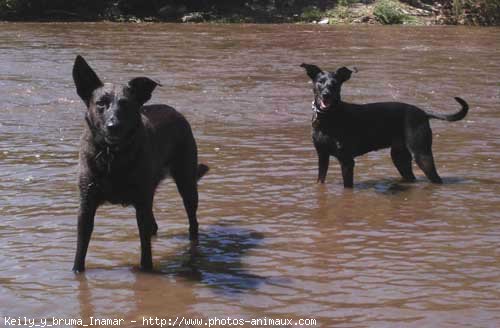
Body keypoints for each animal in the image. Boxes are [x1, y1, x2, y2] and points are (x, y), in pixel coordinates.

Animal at [72, 55, 209, 272]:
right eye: (101, 103)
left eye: (126, 104)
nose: (113, 126)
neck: (113, 156)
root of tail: (175, 111)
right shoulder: (86, 206)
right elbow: (80, 250)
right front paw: (76, 272)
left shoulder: (141, 204)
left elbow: (146, 250)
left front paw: (146, 271)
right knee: (154, 225)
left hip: (186, 183)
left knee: (192, 221)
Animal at [300, 63, 468, 188]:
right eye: (319, 82)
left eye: (335, 84)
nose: (326, 95)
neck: (328, 118)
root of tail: (423, 113)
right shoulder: (322, 155)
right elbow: (320, 181)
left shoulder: (347, 160)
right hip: (399, 156)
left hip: (421, 153)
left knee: (436, 179)